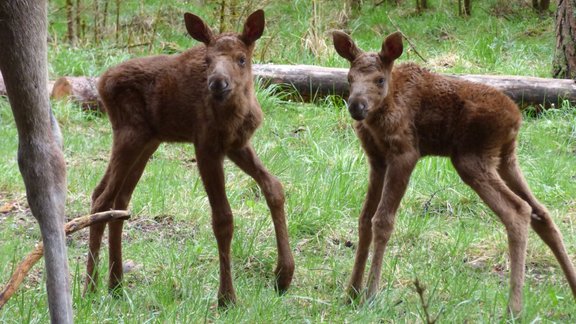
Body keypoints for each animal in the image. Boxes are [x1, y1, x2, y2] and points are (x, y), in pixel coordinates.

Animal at [83, 10, 294, 306]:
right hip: (130, 135)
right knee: (103, 199)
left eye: (241, 58)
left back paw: (115, 285)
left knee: (116, 199)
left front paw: (284, 275)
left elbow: (273, 186)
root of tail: (101, 82)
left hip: (147, 141)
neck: (236, 112)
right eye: (207, 60)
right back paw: (90, 288)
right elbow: (222, 218)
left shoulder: (237, 145)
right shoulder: (205, 146)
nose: (217, 83)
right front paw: (226, 297)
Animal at [332, 30, 576, 314]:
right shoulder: (377, 160)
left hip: (470, 159)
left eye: (380, 79)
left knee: (518, 211)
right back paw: (570, 288)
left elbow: (382, 221)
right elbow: (364, 220)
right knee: (541, 212)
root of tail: (517, 120)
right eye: (349, 78)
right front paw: (351, 292)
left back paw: (513, 308)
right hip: (505, 160)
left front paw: (371, 295)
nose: (356, 106)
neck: (380, 114)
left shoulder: (405, 154)